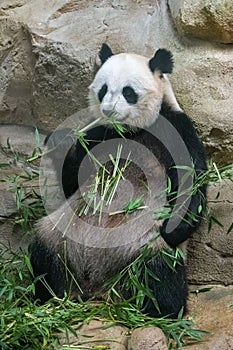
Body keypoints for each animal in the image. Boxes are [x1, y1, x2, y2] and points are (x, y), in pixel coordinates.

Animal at [30, 43, 207, 318]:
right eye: (103, 89)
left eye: (128, 92)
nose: (108, 110)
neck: (129, 131)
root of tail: (97, 284)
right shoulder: (99, 134)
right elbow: (71, 181)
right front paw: (59, 140)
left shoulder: (175, 129)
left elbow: (191, 181)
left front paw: (174, 230)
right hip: (62, 234)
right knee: (44, 256)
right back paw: (49, 297)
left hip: (141, 246)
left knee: (160, 274)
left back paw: (163, 311)